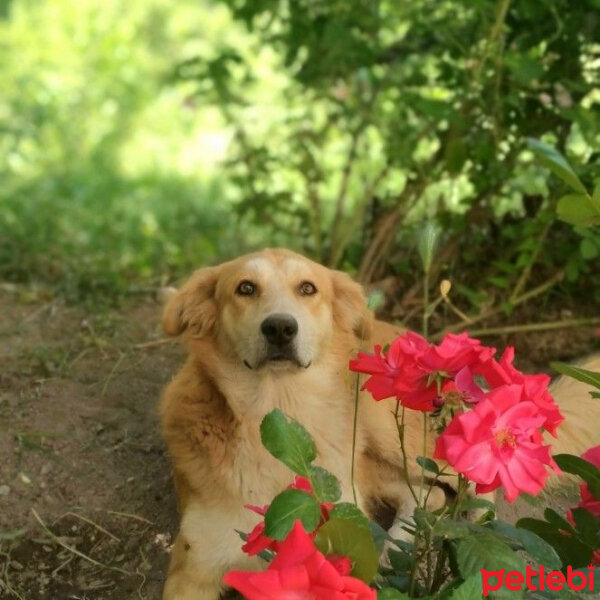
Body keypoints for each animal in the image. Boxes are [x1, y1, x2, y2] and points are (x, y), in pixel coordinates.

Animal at [159, 247, 600, 600]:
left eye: (307, 289)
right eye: (245, 288)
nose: (280, 327)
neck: (279, 415)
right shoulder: (192, 570)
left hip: (391, 427)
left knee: (474, 482)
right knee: (424, 496)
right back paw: (393, 553)